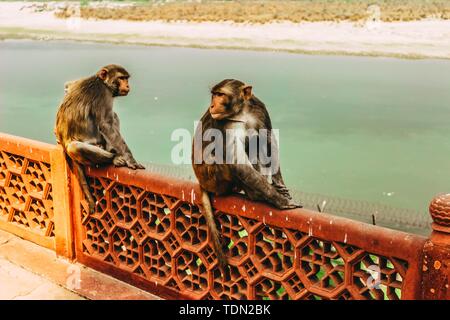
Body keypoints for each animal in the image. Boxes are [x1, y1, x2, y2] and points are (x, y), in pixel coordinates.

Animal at [55, 64, 144, 212]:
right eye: (122, 78)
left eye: (126, 78)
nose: (127, 85)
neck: (102, 82)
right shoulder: (104, 95)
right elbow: (105, 124)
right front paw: (130, 159)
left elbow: (69, 85)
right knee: (75, 147)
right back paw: (114, 158)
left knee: (113, 116)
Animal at [192, 78, 300, 268]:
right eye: (214, 94)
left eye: (220, 94)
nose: (212, 105)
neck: (242, 112)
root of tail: (201, 182)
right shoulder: (224, 124)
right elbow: (238, 163)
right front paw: (280, 199)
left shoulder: (260, 109)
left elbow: (269, 142)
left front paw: (281, 188)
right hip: (215, 178)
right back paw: (254, 194)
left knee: (256, 139)